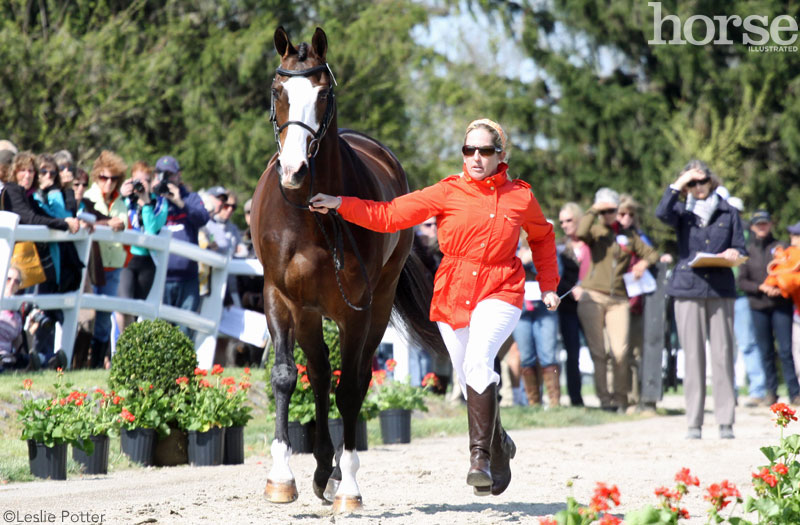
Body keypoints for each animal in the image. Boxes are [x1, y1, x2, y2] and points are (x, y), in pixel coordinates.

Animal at [252, 26, 444, 510]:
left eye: (323, 93)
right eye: (278, 90)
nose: (293, 170)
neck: (309, 215)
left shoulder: (357, 310)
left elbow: (352, 388)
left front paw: (350, 486)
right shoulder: (279, 297)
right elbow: (285, 377)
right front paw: (281, 477)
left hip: (371, 307)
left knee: (349, 380)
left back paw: (337, 472)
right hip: (309, 313)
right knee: (319, 374)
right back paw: (322, 468)